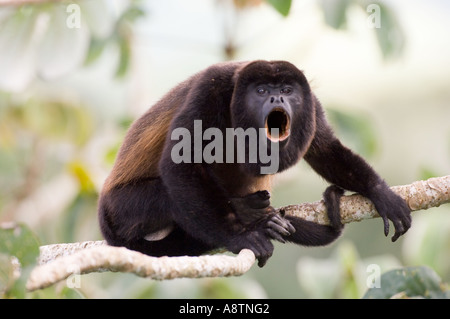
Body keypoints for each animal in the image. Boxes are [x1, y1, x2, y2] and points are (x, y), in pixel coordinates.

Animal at [98, 60, 412, 268]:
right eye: (261, 91)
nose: (276, 97)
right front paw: (239, 238)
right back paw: (246, 211)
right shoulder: (210, 88)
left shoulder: (311, 103)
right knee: (171, 196)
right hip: (122, 208)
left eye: (286, 89)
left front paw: (379, 192)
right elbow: (181, 165)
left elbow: (326, 150)